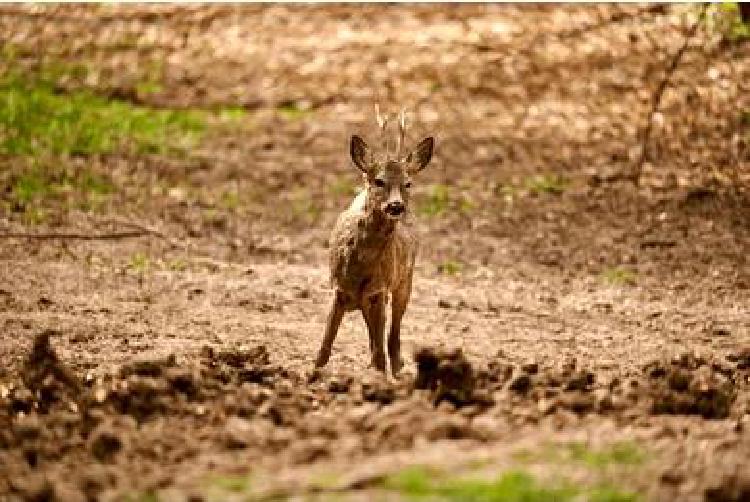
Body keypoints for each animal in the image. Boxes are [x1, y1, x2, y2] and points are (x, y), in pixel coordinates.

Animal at [316, 108, 434, 374]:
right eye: (379, 181)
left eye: (408, 183)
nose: (396, 205)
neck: (360, 266)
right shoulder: (338, 288)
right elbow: (324, 348)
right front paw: (313, 374)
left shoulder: (379, 289)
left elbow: (380, 353)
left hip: (404, 280)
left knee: (392, 333)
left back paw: (398, 364)